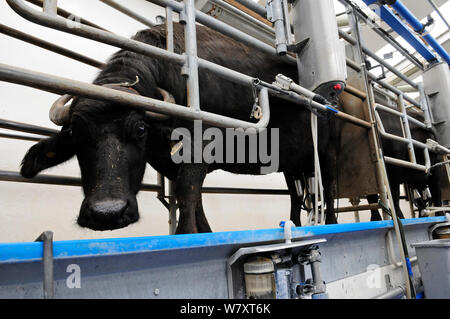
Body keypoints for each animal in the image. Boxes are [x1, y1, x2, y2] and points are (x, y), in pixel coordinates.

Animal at [20, 21, 338, 232]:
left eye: (139, 130)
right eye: (77, 134)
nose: (106, 214)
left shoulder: (198, 154)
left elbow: (187, 195)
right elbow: (194, 201)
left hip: (326, 155)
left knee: (329, 190)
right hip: (291, 165)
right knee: (296, 196)